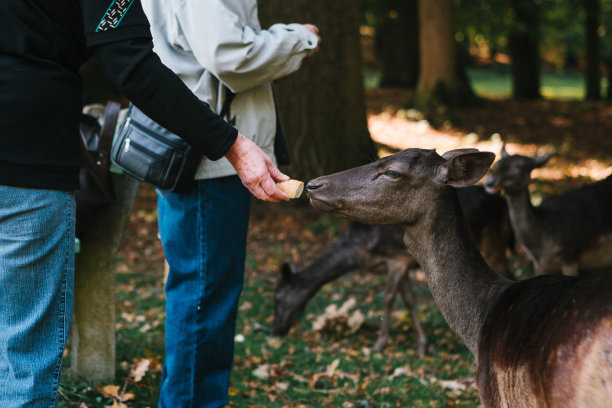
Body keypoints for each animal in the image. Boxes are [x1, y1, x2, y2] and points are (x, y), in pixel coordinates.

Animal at [274, 185, 516, 354]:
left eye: (279, 298)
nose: (276, 330)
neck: (363, 251)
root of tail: (503, 201)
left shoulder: (396, 259)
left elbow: (388, 299)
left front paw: (378, 345)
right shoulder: (404, 265)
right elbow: (408, 300)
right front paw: (422, 346)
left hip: (494, 241)